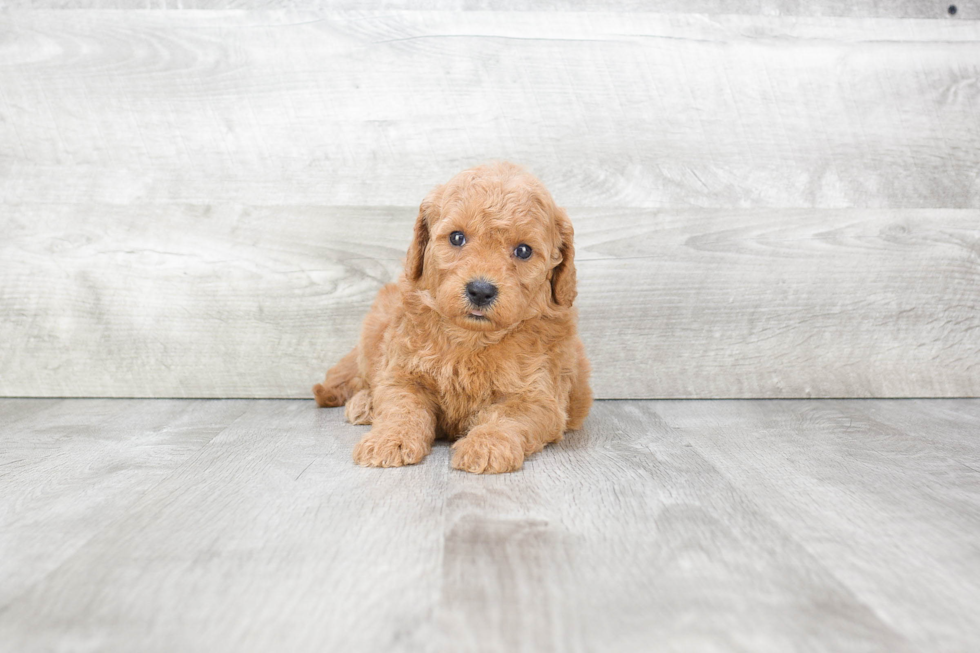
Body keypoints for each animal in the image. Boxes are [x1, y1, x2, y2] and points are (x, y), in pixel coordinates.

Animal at [314, 160, 588, 472]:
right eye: (457, 237)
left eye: (523, 251)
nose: (480, 290)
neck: (471, 338)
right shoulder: (403, 372)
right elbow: (402, 406)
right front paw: (389, 439)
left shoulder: (539, 397)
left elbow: (507, 416)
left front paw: (486, 445)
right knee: (364, 377)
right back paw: (364, 404)